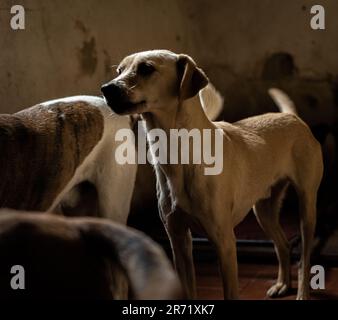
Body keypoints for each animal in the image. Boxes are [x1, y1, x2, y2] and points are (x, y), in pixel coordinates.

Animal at [101, 48, 324, 298]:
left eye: (146, 68)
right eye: (120, 70)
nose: (106, 88)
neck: (179, 154)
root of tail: (293, 118)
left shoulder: (224, 242)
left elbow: (231, 291)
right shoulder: (178, 241)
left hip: (307, 209)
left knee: (304, 257)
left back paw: (302, 292)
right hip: (264, 211)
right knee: (283, 245)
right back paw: (282, 284)